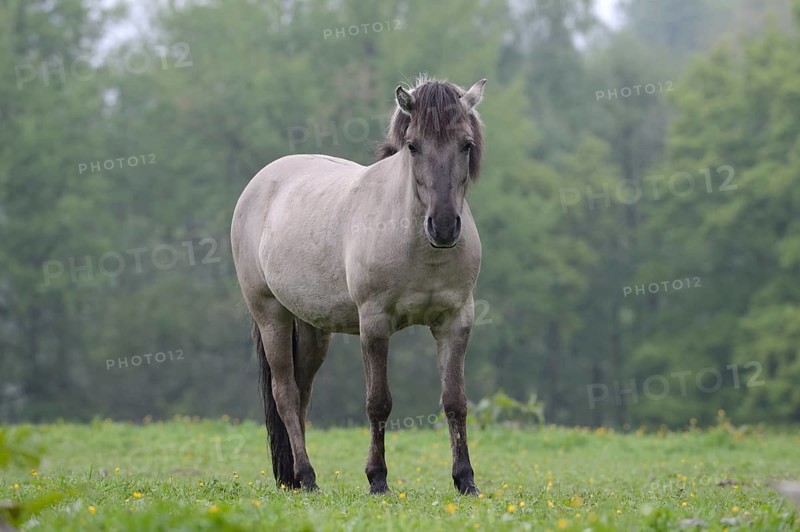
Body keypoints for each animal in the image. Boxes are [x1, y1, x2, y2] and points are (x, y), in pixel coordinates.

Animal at [230, 76, 487, 495]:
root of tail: (260, 183)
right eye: (413, 145)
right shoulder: (375, 323)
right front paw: (377, 479)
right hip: (271, 315)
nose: (445, 226)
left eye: (466, 144)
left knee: (302, 394)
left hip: (313, 329)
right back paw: (307, 477)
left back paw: (297, 477)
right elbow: (378, 402)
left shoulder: (455, 321)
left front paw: (465, 480)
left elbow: (455, 401)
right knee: (285, 394)